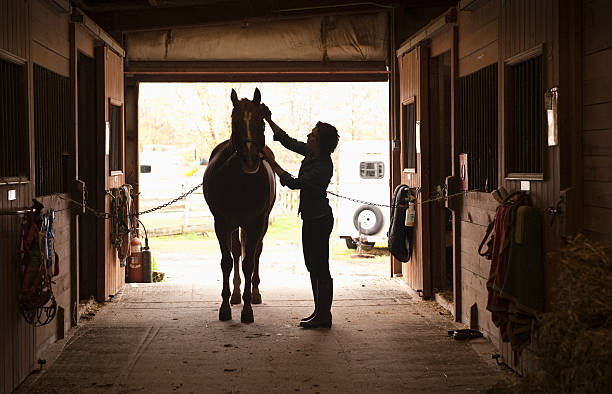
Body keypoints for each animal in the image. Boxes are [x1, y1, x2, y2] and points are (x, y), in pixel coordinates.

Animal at [202, 87, 276, 324]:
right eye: (235, 122)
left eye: (261, 122)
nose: (251, 160)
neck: (241, 182)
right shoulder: (222, 223)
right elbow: (227, 261)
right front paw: (225, 307)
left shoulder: (255, 223)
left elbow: (249, 263)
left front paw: (248, 310)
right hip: (234, 226)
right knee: (236, 253)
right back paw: (235, 295)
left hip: (258, 225)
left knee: (255, 253)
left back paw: (255, 293)